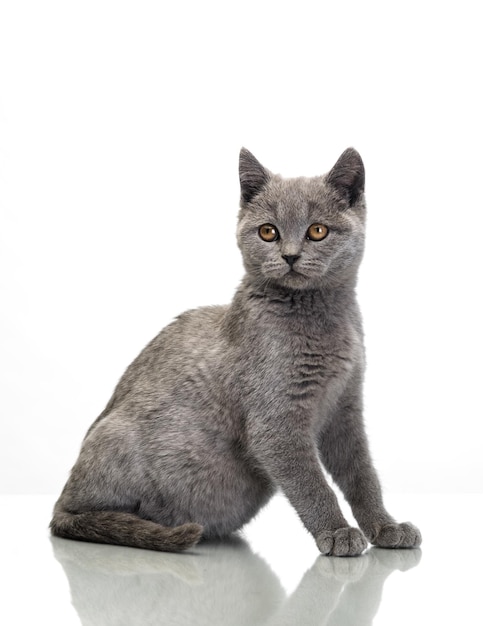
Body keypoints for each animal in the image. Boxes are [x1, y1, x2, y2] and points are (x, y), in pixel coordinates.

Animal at [51, 147, 424, 556]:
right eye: (268, 231)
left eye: (317, 230)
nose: (290, 255)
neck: (326, 321)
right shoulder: (276, 424)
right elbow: (313, 483)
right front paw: (337, 533)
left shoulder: (346, 407)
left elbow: (362, 475)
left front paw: (386, 527)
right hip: (113, 440)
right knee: (80, 517)